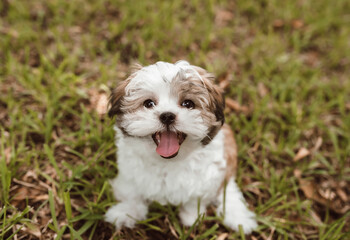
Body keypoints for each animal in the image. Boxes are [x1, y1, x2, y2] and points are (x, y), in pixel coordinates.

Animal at [104, 61, 258, 233]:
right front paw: (126, 212)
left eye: (188, 104)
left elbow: (195, 198)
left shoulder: (207, 176)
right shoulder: (130, 174)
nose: (167, 115)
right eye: (148, 103)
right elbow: (133, 194)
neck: (167, 161)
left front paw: (192, 217)